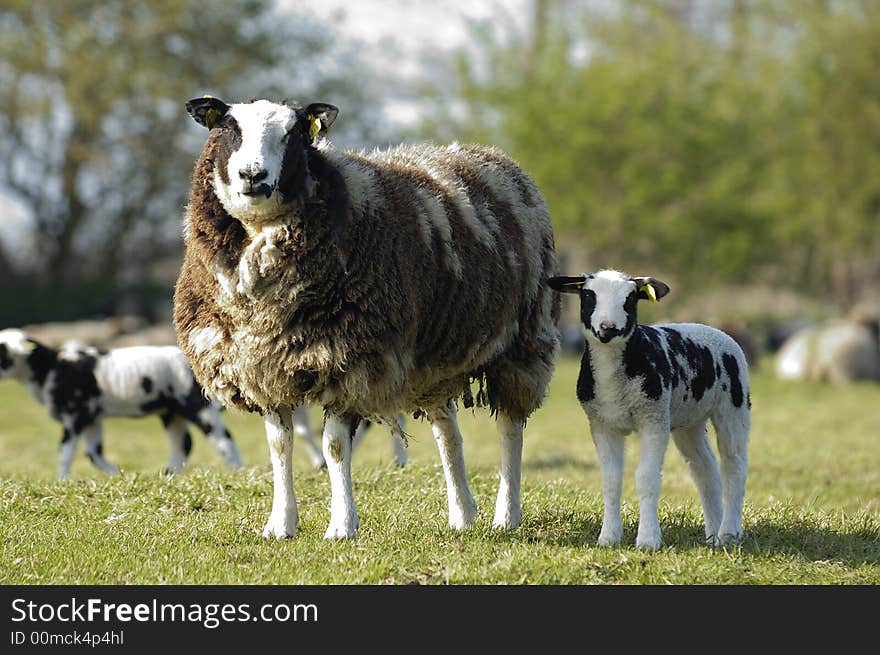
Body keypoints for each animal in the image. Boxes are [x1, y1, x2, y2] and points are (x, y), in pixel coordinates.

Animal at [0, 328, 242, 476]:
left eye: (2, 351)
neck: (51, 368)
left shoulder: (75, 414)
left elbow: (66, 453)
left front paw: (62, 480)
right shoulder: (91, 417)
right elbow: (93, 452)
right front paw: (117, 475)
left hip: (198, 406)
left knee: (224, 440)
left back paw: (238, 471)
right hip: (171, 411)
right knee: (182, 443)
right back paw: (168, 473)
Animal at [173, 95, 560, 540]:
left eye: (293, 133)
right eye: (227, 128)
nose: (252, 175)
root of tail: (493, 157)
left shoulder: (350, 361)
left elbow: (334, 447)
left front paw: (342, 525)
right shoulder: (261, 368)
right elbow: (279, 446)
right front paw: (281, 524)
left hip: (523, 342)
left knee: (510, 428)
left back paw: (506, 515)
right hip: (434, 362)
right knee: (448, 433)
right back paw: (462, 514)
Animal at [552, 270, 748, 552]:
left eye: (630, 298)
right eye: (588, 295)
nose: (608, 328)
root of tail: (712, 328)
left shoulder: (653, 420)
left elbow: (646, 479)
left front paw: (647, 540)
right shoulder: (602, 424)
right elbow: (610, 481)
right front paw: (608, 538)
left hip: (733, 406)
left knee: (734, 467)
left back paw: (730, 533)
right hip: (689, 421)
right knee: (705, 470)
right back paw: (714, 536)